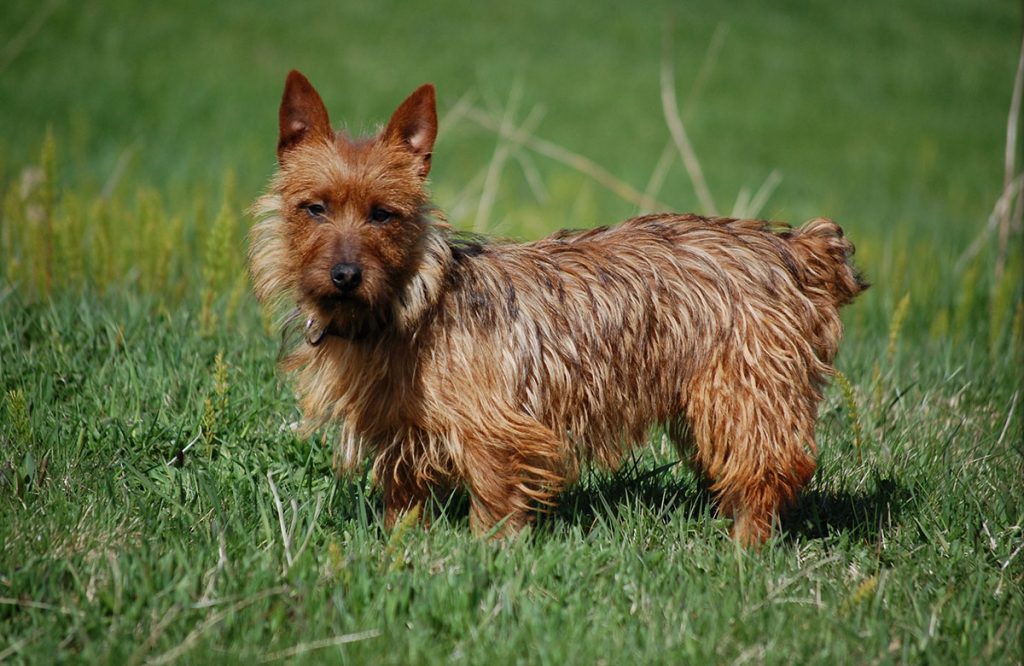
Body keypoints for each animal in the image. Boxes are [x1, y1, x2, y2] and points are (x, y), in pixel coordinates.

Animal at [249, 68, 864, 545]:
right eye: (314, 208)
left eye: (383, 214)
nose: (345, 276)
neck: (411, 307)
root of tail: (793, 247)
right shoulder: (400, 434)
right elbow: (403, 503)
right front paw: (399, 552)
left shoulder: (498, 432)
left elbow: (494, 506)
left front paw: (485, 559)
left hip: (743, 396)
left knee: (766, 474)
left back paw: (743, 553)